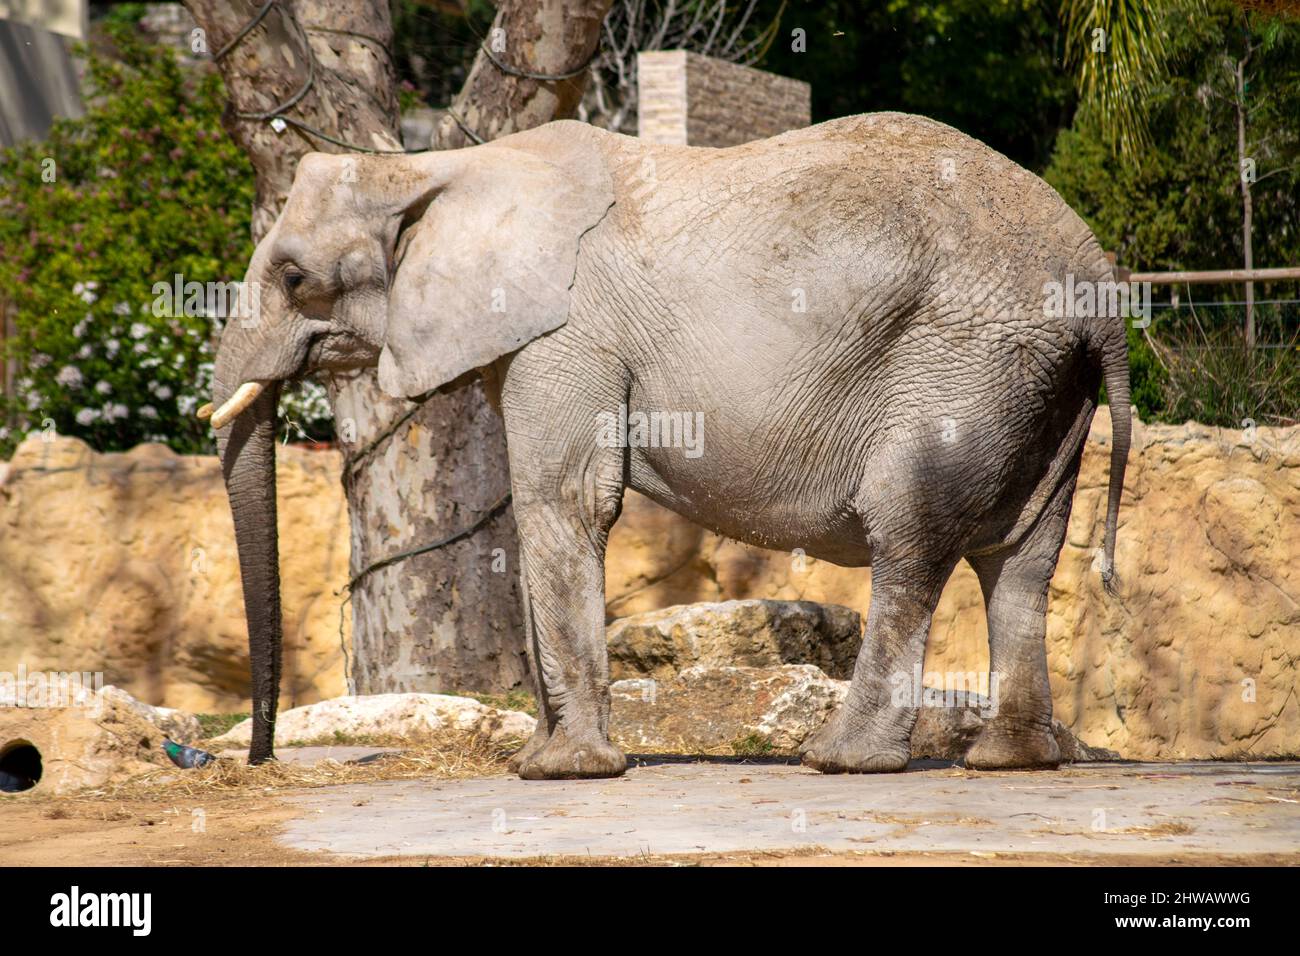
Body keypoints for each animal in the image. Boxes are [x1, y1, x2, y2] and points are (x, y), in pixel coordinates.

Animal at [200, 115, 1128, 780]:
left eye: (294, 278)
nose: (254, 760)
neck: (436, 166)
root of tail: (1103, 296)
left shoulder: (571, 333)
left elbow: (564, 503)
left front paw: (561, 773)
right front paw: (544, 758)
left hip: (962, 362)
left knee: (911, 536)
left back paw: (839, 761)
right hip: (1039, 385)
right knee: (1021, 557)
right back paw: (1010, 761)